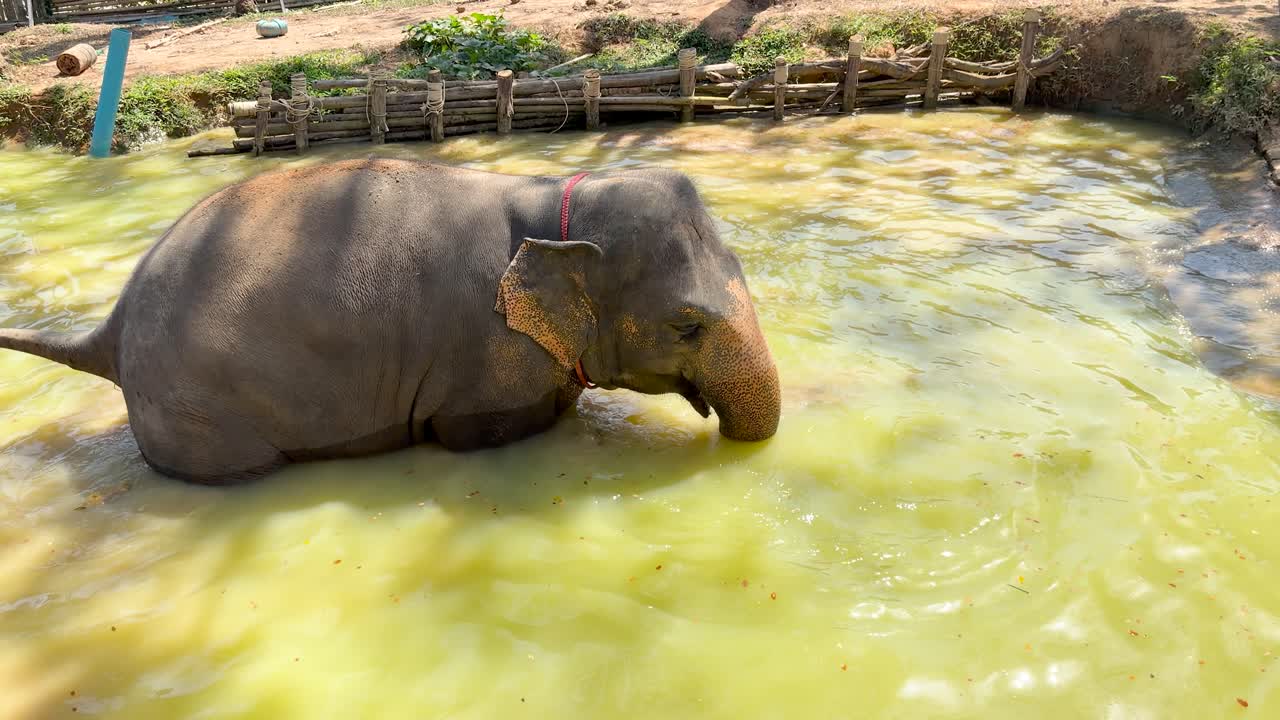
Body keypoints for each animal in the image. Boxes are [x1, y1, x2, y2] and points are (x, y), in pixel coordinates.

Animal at [0, 160, 780, 484]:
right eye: (686, 326)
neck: (556, 194)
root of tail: (112, 329)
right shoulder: (486, 357)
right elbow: (479, 431)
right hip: (196, 413)